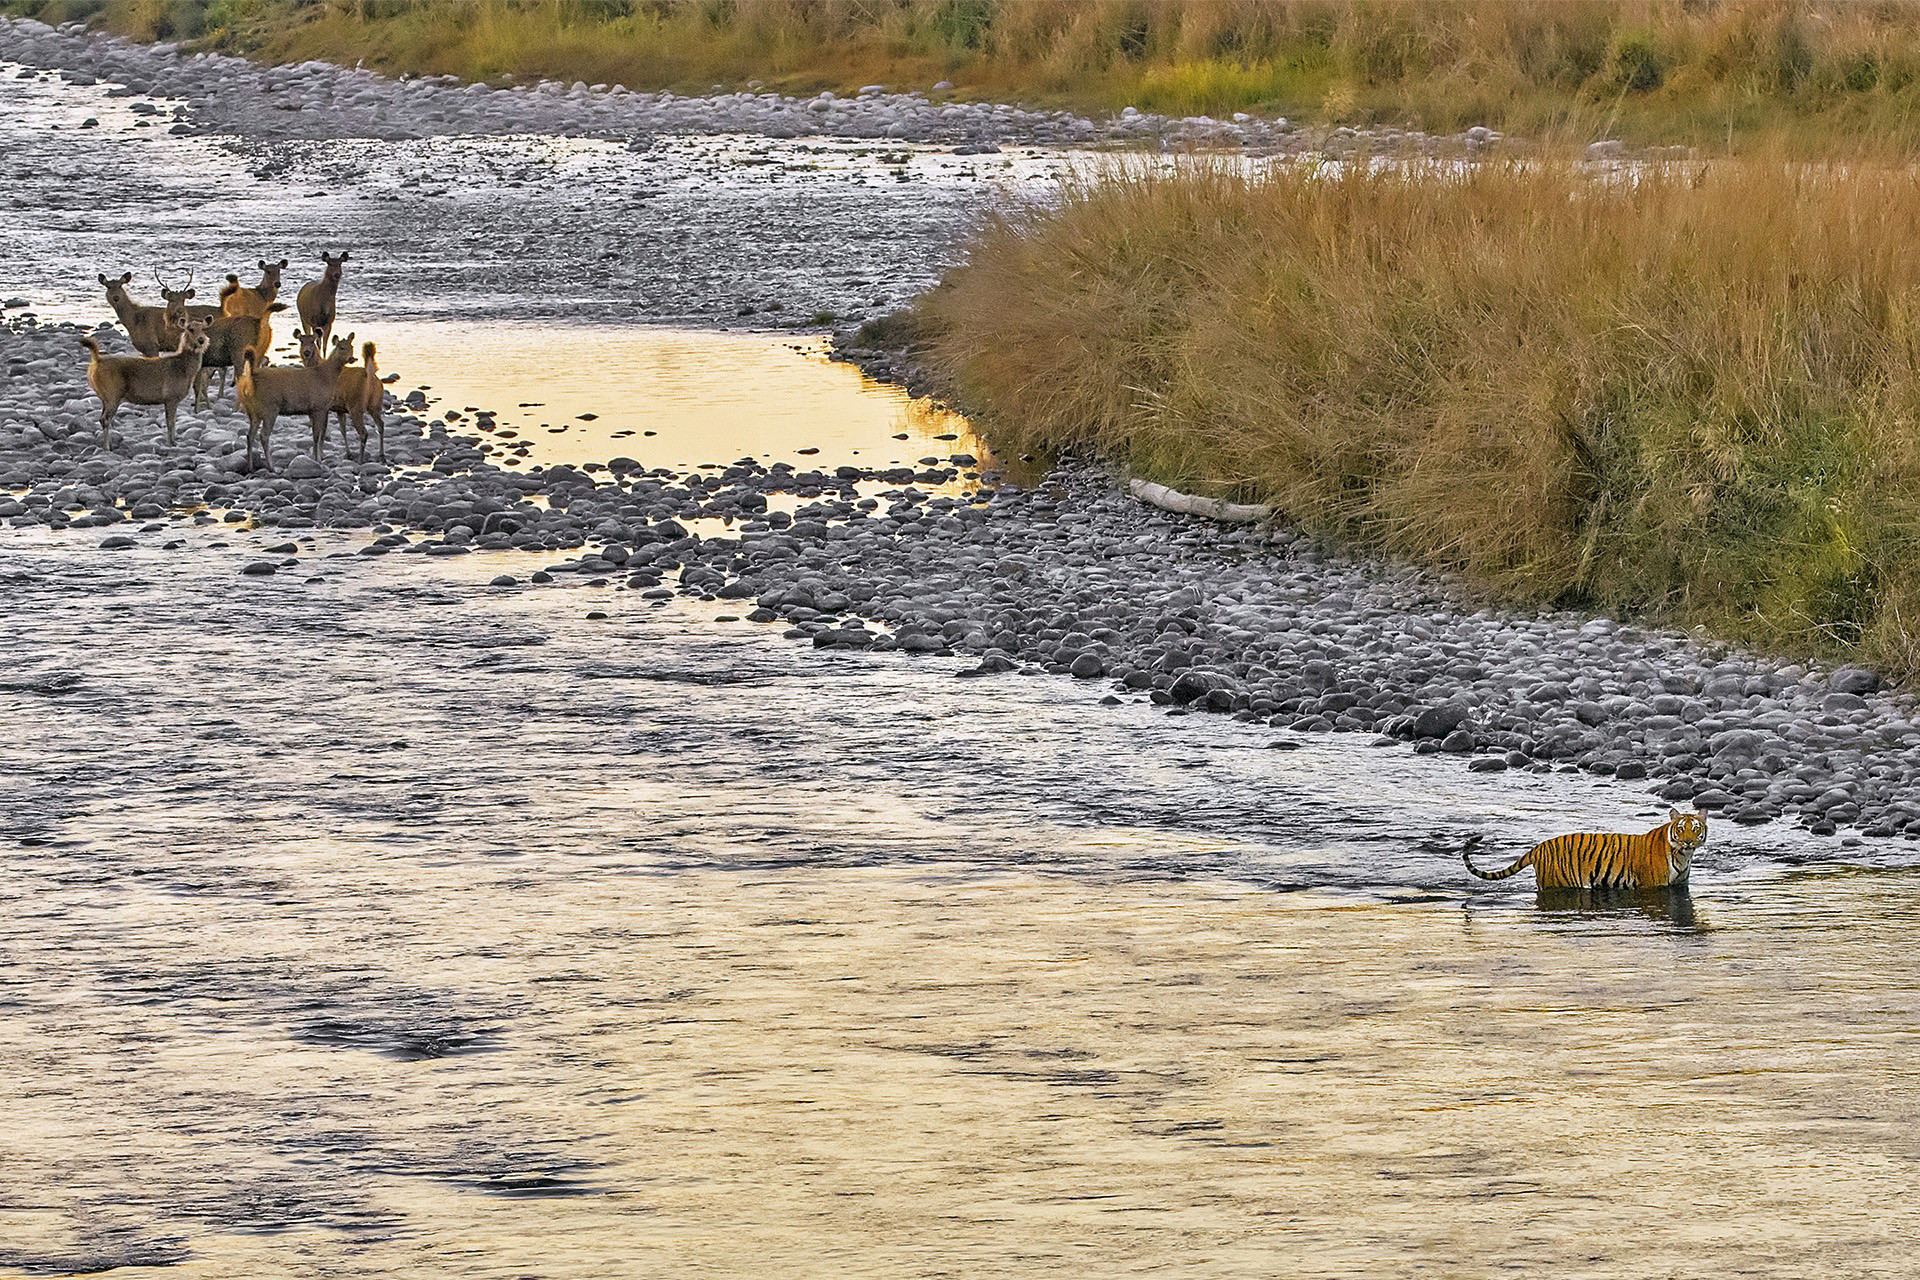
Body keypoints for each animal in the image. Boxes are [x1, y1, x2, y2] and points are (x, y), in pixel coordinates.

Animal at [80, 319, 210, 451]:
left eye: (204, 329)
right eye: (190, 329)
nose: (201, 340)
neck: (185, 371)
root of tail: (96, 361)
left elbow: (173, 421)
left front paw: (174, 442)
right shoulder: (171, 396)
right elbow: (170, 422)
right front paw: (170, 443)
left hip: (105, 397)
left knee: (102, 418)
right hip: (113, 394)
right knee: (105, 419)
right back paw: (107, 447)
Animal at [238, 330, 352, 472]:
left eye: (352, 347)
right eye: (341, 347)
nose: (352, 358)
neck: (327, 377)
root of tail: (250, 381)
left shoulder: (314, 409)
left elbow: (317, 434)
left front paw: (316, 457)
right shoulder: (318, 406)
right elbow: (316, 435)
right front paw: (317, 460)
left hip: (253, 411)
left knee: (249, 435)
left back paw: (250, 467)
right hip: (270, 408)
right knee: (263, 436)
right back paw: (271, 467)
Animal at [1462, 808, 1707, 889]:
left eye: (1695, 829)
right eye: (1681, 829)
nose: (1688, 841)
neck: (1683, 855)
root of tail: (1539, 847)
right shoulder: (1652, 886)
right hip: (1558, 882)